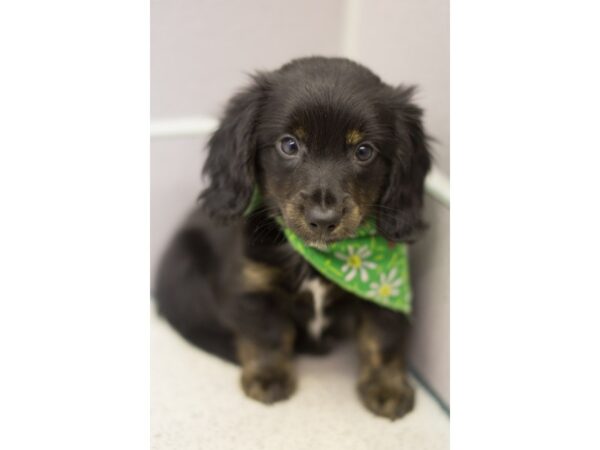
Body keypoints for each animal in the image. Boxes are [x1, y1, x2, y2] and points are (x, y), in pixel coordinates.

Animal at [152, 55, 428, 418]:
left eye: (364, 151)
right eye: (289, 145)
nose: (323, 219)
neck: (322, 258)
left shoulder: (386, 297)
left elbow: (382, 338)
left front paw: (387, 387)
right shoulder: (253, 286)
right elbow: (268, 334)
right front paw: (268, 376)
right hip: (184, 266)